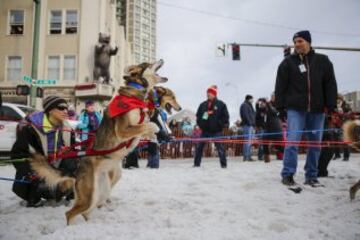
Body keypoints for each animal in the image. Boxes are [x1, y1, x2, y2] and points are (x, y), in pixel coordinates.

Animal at [29, 59, 167, 224]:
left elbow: (146, 129)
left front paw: (155, 136)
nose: (161, 60)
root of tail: (76, 172)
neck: (136, 93)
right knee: (70, 213)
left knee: (85, 212)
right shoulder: (123, 129)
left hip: (101, 191)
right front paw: (155, 129)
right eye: (148, 63)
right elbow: (148, 125)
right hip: (89, 196)